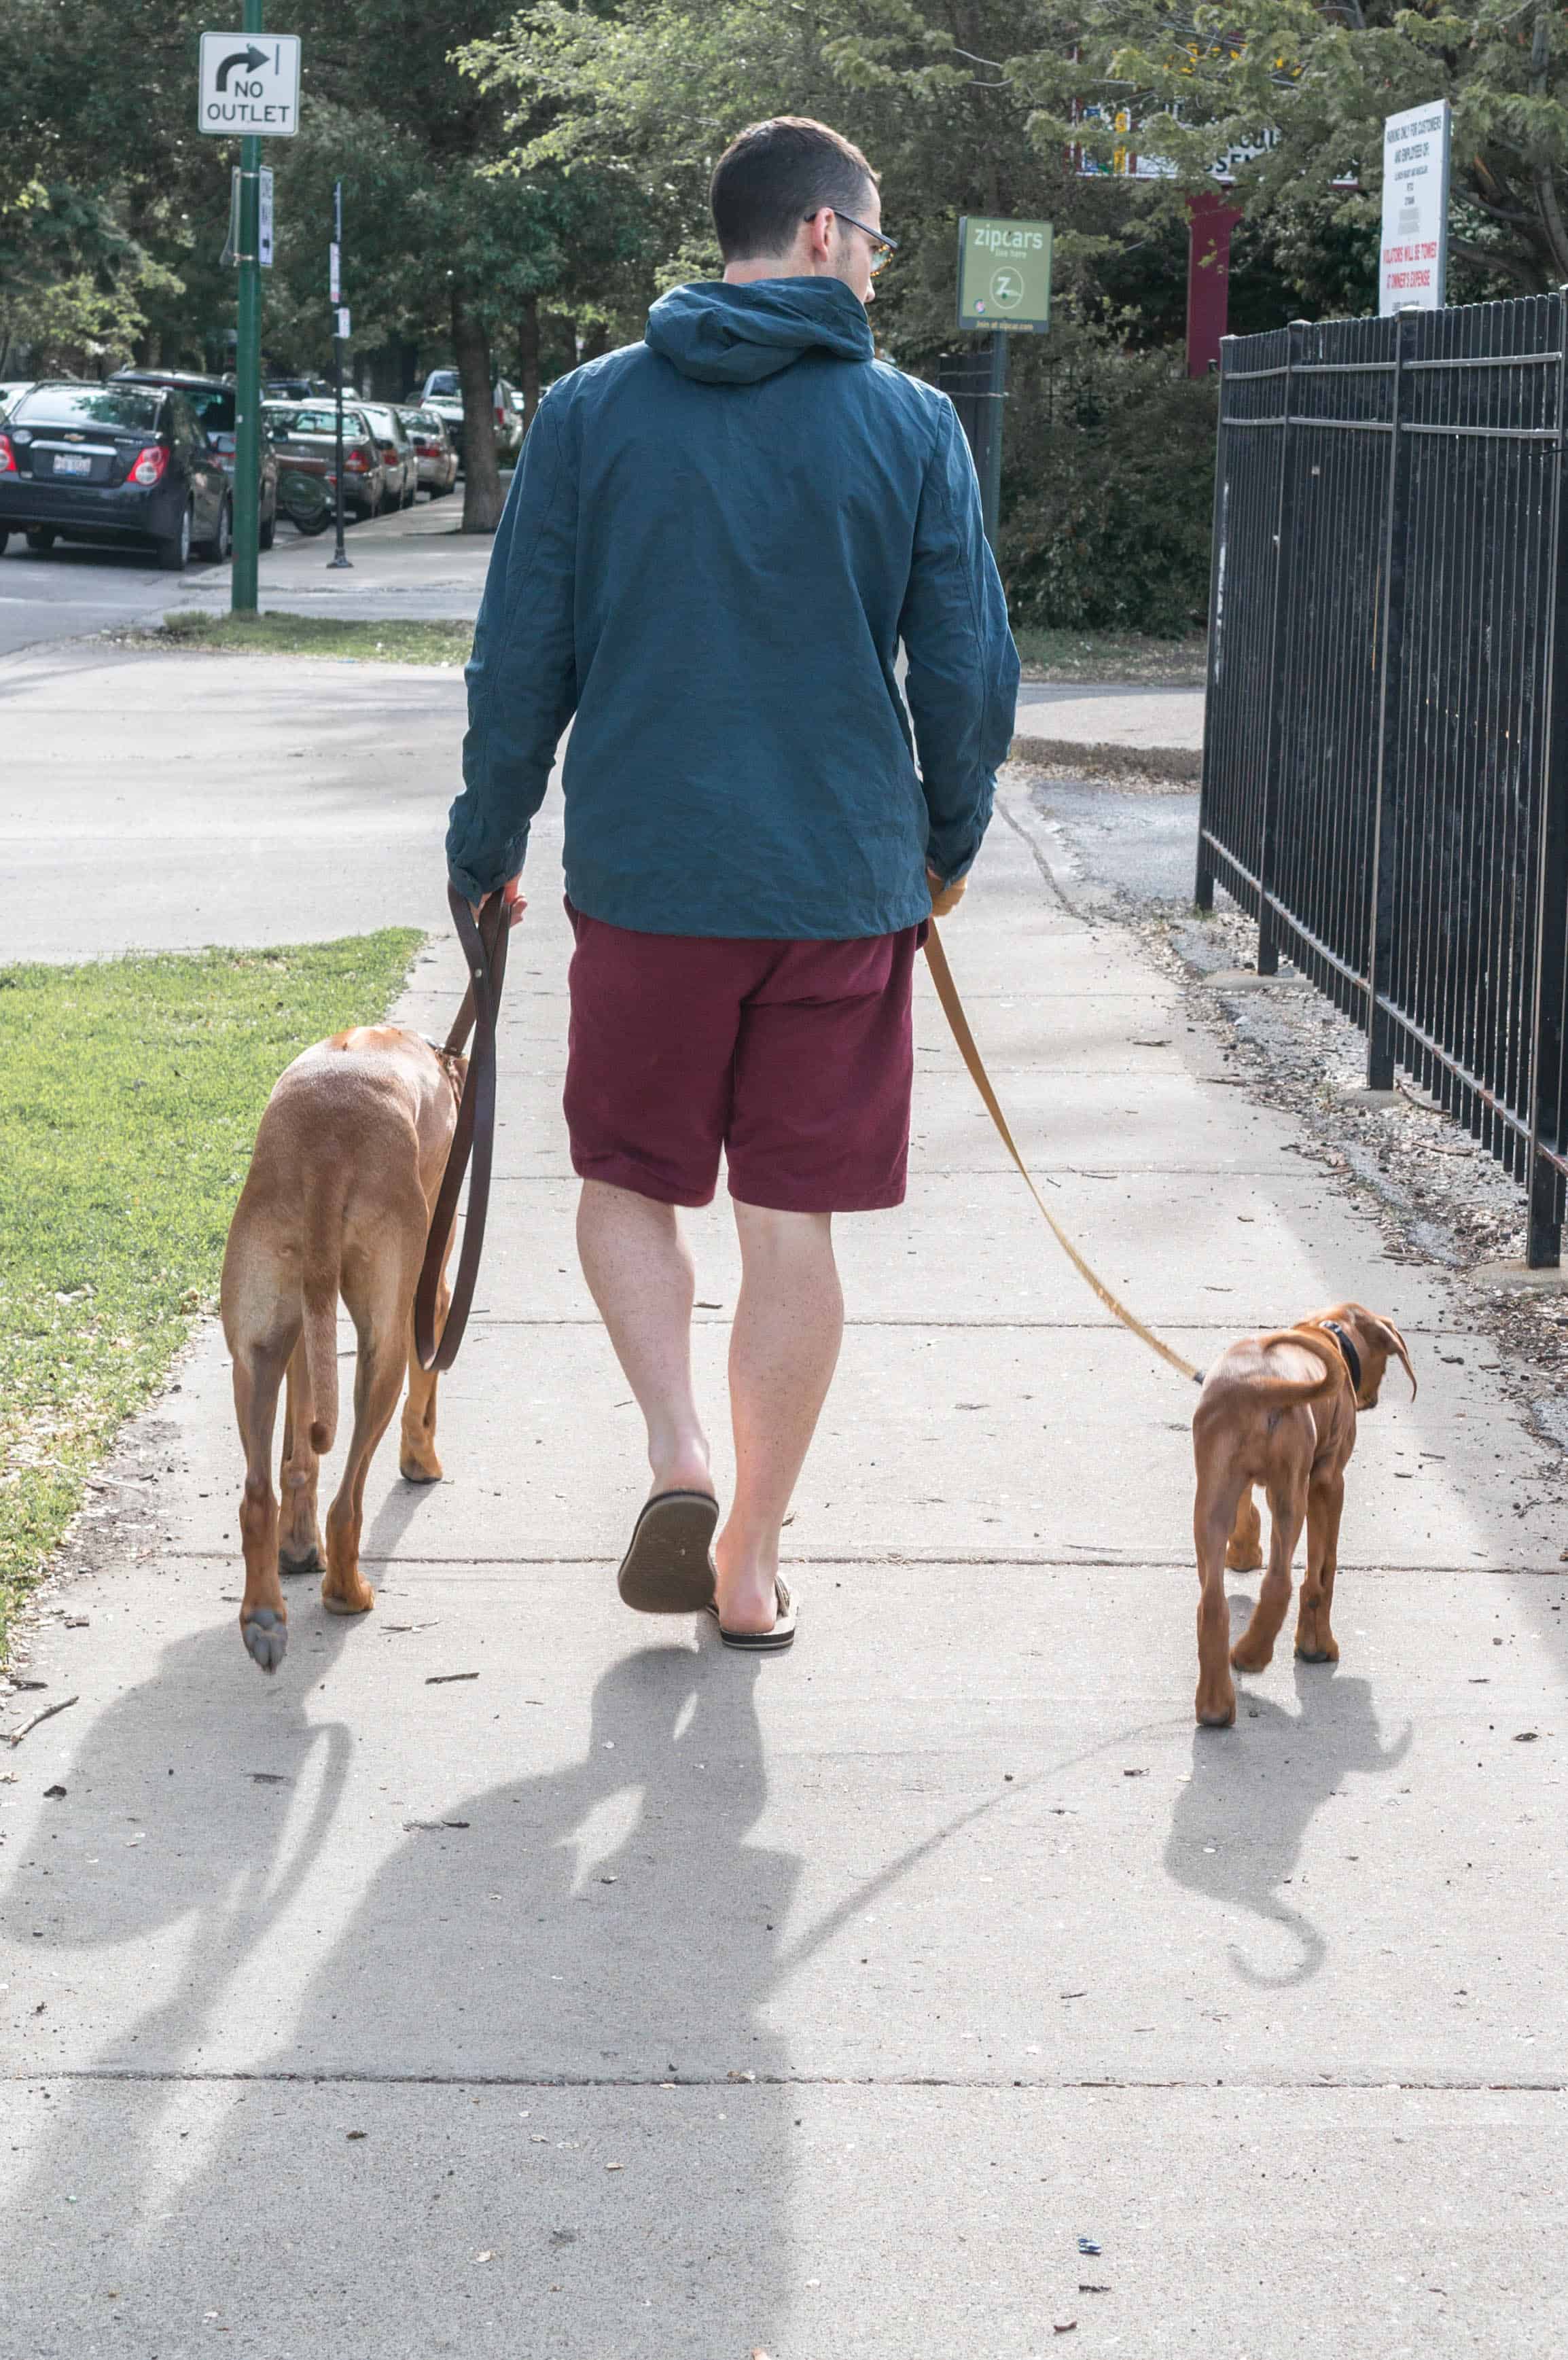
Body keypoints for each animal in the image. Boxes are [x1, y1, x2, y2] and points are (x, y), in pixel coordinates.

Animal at [223, 1033, 463, 1680]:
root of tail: (325, 1147)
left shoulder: (310, 1321)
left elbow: (298, 1451)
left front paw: (297, 1546)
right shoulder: (428, 1297)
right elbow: (426, 1391)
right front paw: (422, 1459)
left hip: (257, 1342)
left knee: (261, 1490)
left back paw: (266, 1614)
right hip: (384, 1341)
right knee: (348, 1502)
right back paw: (347, 1593)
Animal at [1194, 1302, 1416, 1727]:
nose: (1373, 1399)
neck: (1328, 1334)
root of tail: (1258, 1386)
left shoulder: (1240, 1483)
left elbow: (1247, 1516)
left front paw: (1243, 1553)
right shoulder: (1329, 1482)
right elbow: (1323, 1572)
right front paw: (1316, 1646)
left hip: (1211, 1497)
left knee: (1213, 1603)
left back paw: (1215, 1707)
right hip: (1291, 1492)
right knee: (1280, 1581)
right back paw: (1251, 1657)